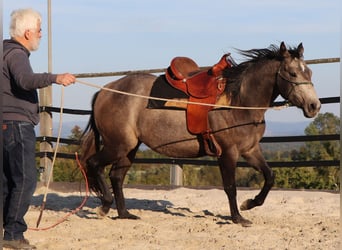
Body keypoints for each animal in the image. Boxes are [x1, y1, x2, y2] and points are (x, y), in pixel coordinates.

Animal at [79, 41, 320, 227]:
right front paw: (237, 217)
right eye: (292, 73)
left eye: (309, 72)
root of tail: (104, 92)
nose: (314, 106)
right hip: (118, 145)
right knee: (94, 164)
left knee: (116, 176)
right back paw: (105, 207)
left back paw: (124, 214)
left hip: (129, 148)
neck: (239, 101)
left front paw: (249, 204)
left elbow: (270, 177)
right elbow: (230, 187)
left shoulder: (251, 151)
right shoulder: (228, 153)